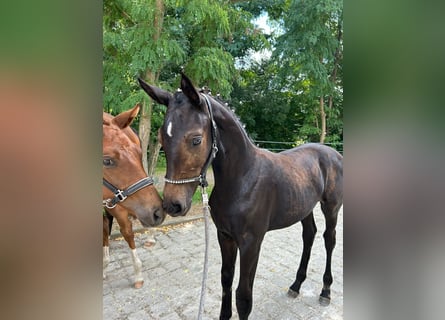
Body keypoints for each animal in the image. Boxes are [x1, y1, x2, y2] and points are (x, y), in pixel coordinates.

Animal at [139, 73, 344, 320]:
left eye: (196, 139)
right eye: (162, 137)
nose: (173, 205)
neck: (243, 179)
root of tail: (334, 153)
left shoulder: (251, 242)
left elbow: (243, 296)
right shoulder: (225, 236)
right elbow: (226, 280)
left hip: (331, 207)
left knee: (329, 239)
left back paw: (325, 291)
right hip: (304, 206)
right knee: (309, 235)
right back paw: (296, 285)